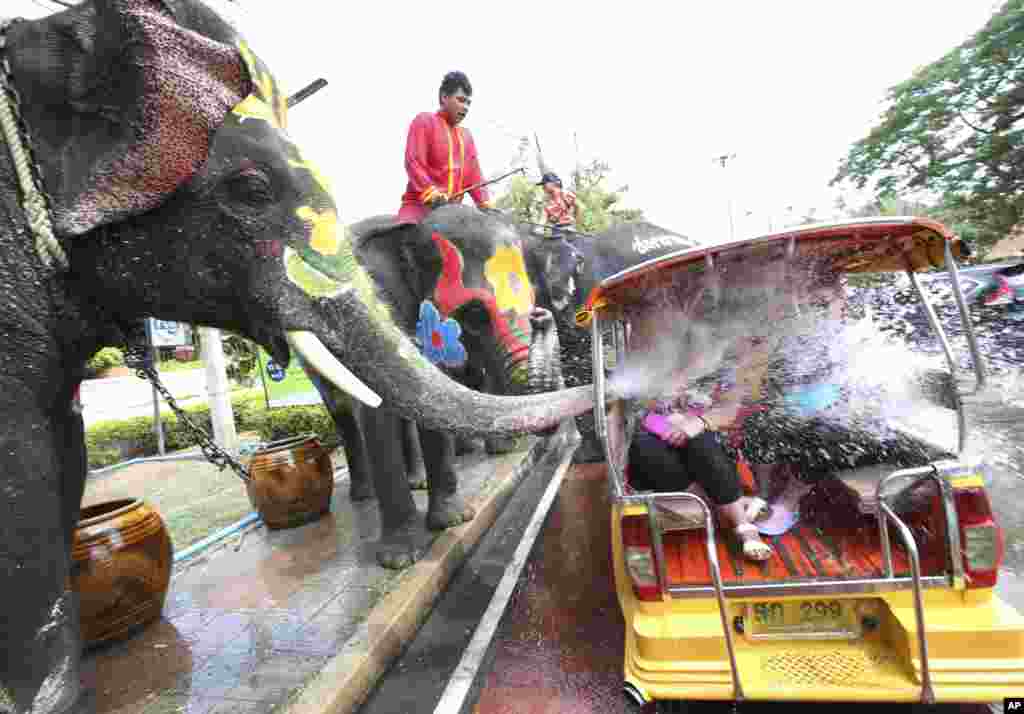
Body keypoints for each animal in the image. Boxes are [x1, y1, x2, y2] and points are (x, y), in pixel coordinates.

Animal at [301, 205, 569, 569]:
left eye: (533, 300)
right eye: (474, 314)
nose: (542, 317)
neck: (411, 229)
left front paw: (452, 521)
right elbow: (376, 413)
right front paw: (400, 560)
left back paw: (417, 481)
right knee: (341, 410)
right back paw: (363, 495)